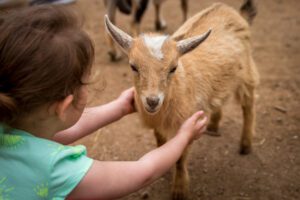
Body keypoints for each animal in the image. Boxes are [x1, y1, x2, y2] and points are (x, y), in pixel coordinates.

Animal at [105, 0, 258, 199]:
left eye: (173, 68)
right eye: (133, 66)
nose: (152, 101)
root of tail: (230, 10)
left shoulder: (184, 123)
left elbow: (180, 158)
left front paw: (179, 190)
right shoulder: (159, 124)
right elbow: (160, 141)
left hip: (246, 73)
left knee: (249, 105)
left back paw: (245, 145)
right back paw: (213, 125)